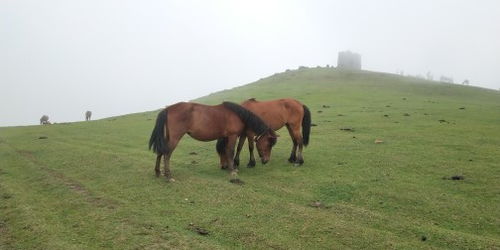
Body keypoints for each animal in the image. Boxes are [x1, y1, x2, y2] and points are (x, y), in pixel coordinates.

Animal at [148, 101, 278, 182]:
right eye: (268, 144)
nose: (266, 161)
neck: (237, 115)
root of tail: (168, 109)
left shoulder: (228, 136)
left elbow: (227, 151)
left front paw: (229, 166)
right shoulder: (232, 136)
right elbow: (230, 151)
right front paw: (232, 171)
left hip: (168, 138)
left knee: (161, 151)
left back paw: (158, 172)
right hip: (175, 138)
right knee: (167, 154)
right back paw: (168, 176)